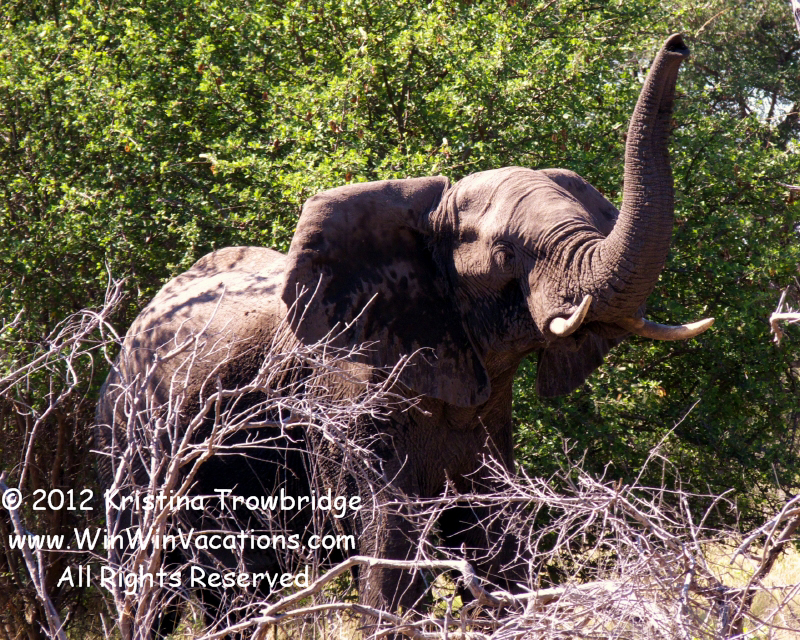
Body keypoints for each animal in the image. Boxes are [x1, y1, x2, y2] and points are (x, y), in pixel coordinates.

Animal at [95, 33, 712, 636]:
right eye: (505, 254)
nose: (679, 44)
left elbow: (497, 535)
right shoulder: (348, 395)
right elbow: (390, 544)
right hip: (129, 439)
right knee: (152, 586)